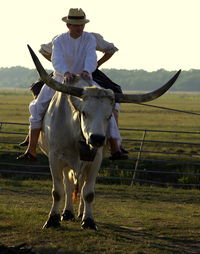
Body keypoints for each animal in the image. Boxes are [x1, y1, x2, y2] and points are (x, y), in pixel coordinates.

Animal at [27, 45, 181, 230]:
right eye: (84, 113)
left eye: (109, 116)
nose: (98, 139)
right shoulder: (55, 158)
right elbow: (58, 191)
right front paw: (52, 220)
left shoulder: (96, 159)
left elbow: (88, 192)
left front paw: (88, 220)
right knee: (69, 184)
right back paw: (68, 212)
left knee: (80, 184)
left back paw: (79, 212)